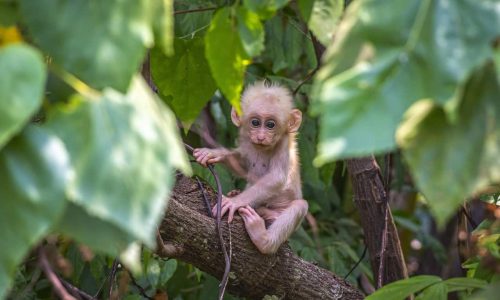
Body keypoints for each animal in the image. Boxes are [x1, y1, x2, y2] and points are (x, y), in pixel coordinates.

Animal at [192, 81, 306, 254]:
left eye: (270, 125)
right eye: (255, 122)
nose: (261, 137)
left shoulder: (284, 143)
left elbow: (277, 177)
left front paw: (234, 202)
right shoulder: (246, 139)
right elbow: (244, 167)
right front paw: (214, 153)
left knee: (300, 205)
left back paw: (263, 239)